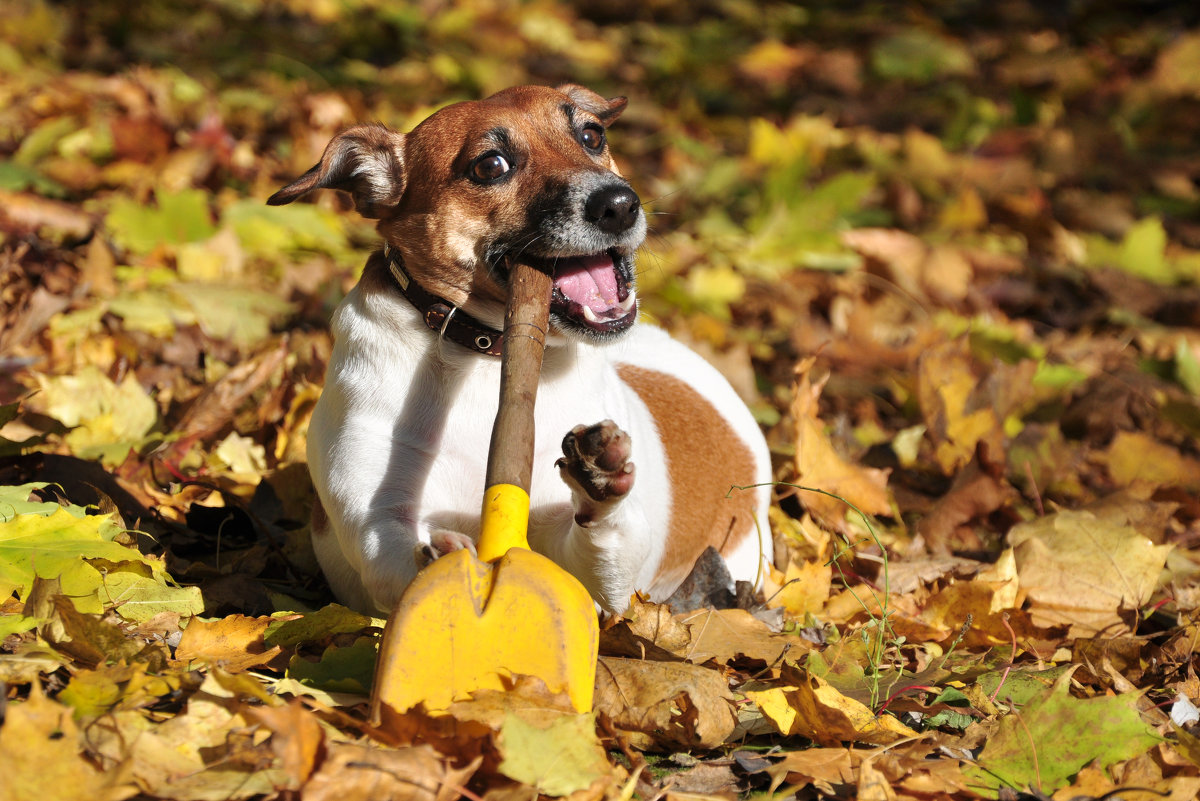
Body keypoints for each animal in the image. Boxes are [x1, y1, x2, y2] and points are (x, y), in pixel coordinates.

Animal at [268, 84, 772, 618]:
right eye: (490, 166)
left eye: (592, 135)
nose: (619, 204)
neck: (481, 355)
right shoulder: (375, 517)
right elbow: (396, 556)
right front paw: (442, 556)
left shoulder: (596, 574)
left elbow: (600, 557)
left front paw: (597, 479)